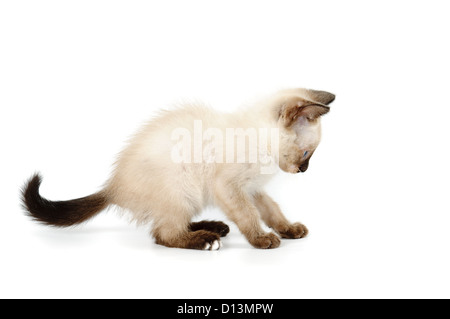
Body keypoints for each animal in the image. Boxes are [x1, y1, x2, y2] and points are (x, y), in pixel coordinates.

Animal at [20, 89, 334, 251]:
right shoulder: (230, 186)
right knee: (164, 234)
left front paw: (288, 229)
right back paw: (206, 239)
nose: (303, 170)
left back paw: (215, 227)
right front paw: (261, 239)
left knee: (167, 226)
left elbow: (271, 210)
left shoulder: (252, 188)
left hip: (189, 196)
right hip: (183, 188)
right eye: (307, 153)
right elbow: (249, 215)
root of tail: (112, 187)